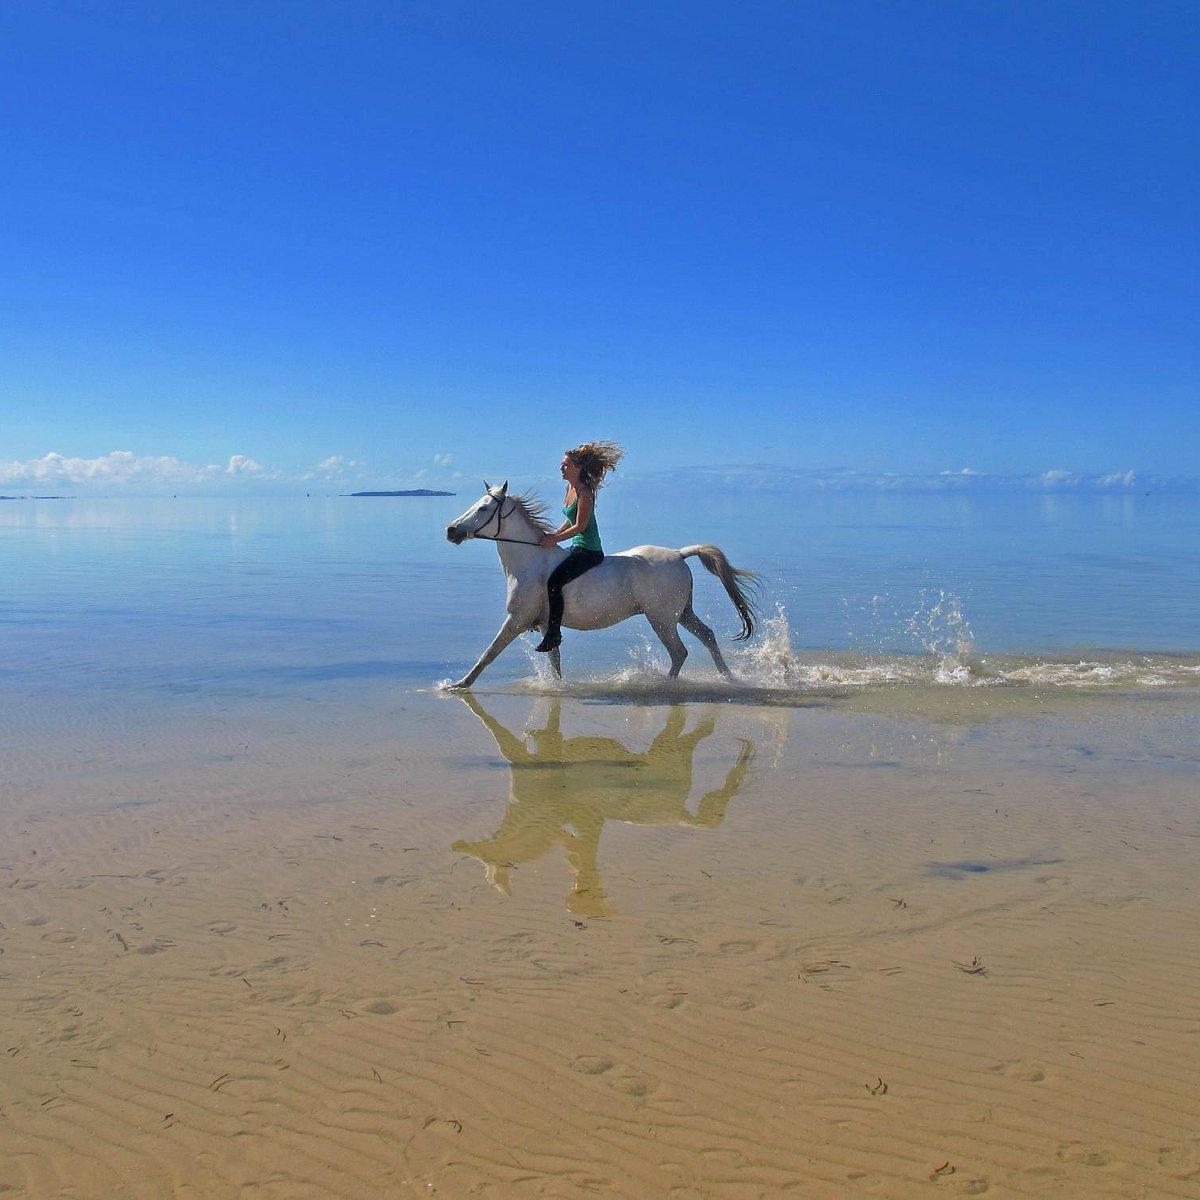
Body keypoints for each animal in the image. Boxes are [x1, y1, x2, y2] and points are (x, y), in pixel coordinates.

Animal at [444, 481, 761, 690]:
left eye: (483, 508)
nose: (451, 531)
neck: (530, 561)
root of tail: (679, 553)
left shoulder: (517, 619)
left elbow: (489, 654)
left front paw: (458, 685)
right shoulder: (547, 625)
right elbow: (554, 661)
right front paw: (559, 688)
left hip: (661, 618)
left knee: (679, 652)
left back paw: (664, 685)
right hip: (681, 613)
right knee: (707, 636)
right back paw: (728, 677)